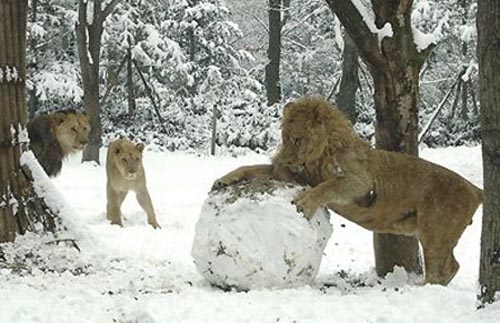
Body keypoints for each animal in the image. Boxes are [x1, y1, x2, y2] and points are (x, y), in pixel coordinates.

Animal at [213, 97, 482, 286]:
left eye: (297, 139)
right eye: (284, 137)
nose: (285, 159)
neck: (319, 156)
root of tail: (476, 188)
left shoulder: (361, 183)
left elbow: (329, 186)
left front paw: (304, 203)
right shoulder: (294, 175)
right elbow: (254, 167)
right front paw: (223, 180)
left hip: (434, 230)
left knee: (442, 268)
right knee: (453, 265)